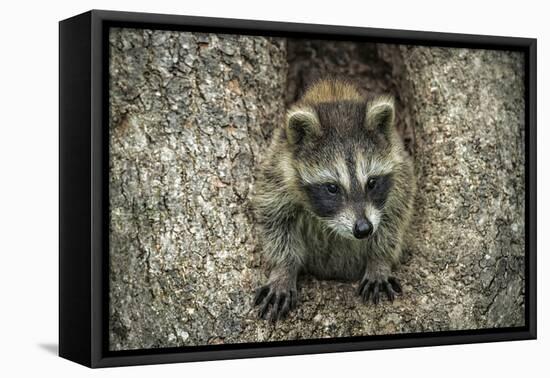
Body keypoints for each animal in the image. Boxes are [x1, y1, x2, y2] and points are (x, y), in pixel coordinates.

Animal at [252, 78, 416, 320]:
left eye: (372, 182)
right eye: (332, 188)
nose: (363, 229)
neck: (334, 96)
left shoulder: (400, 171)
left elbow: (394, 218)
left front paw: (379, 260)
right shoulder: (277, 171)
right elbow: (276, 222)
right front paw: (283, 269)